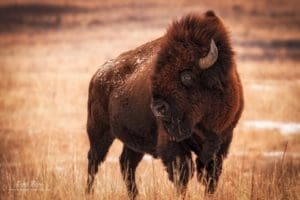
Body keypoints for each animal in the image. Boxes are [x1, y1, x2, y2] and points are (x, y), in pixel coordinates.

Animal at [85, 11, 244, 200]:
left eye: (187, 76)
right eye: (155, 75)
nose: (158, 108)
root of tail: (98, 75)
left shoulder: (221, 142)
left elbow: (211, 177)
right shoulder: (173, 145)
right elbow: (182, 176)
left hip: (133, 140)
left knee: (126, 164)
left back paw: (134, 195)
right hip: (100, 131)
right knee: (94, 160)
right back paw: (88, 192)